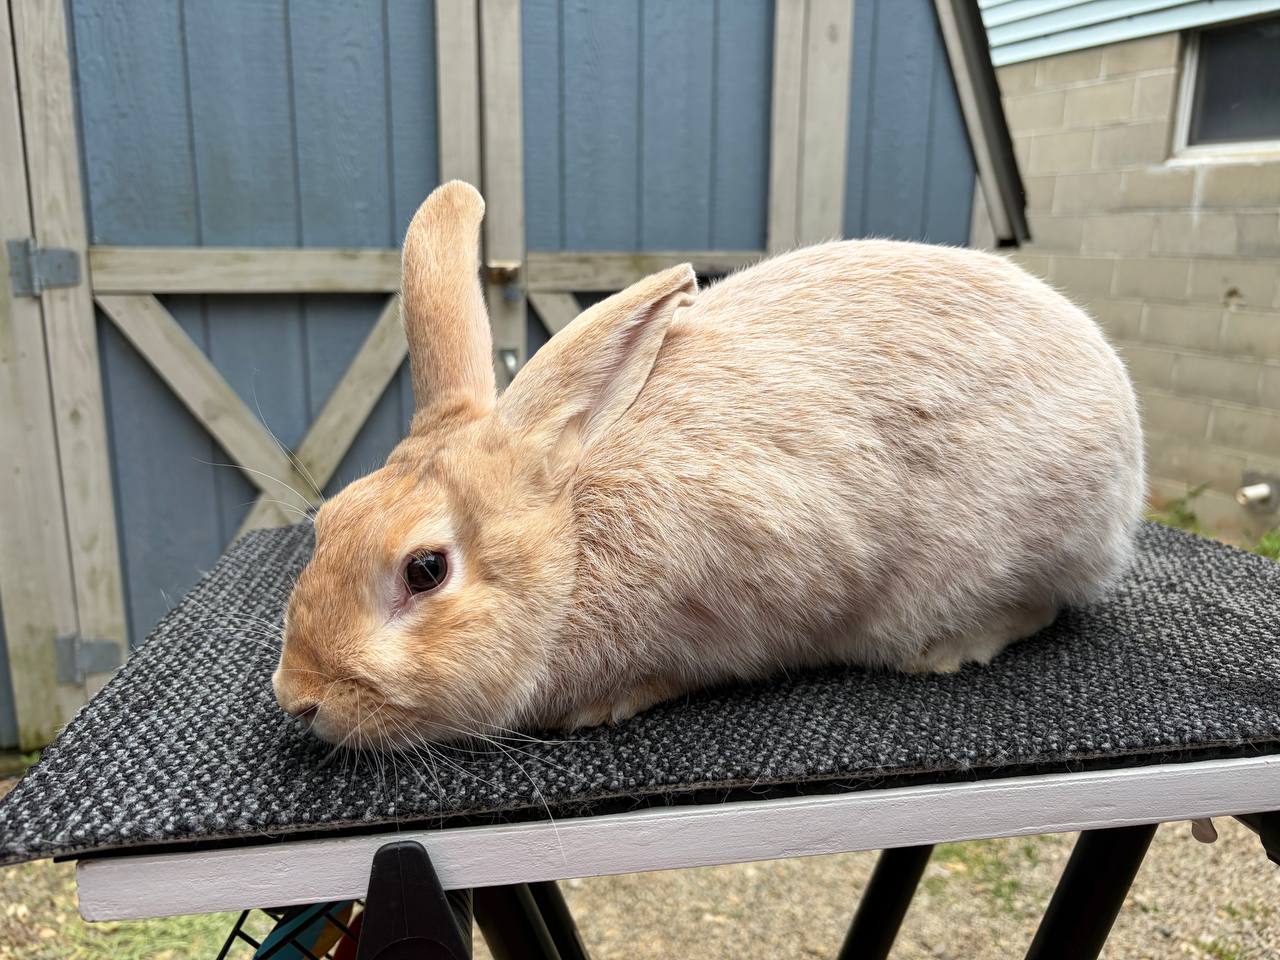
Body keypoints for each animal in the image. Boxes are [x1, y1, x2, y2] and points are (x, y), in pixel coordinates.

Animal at [272, 180, 1144, 748]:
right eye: (331, 518)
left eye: (425, 570)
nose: (298, 698)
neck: (572, 548)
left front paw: (601, 706)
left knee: (1037, 606)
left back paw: (947, 650)